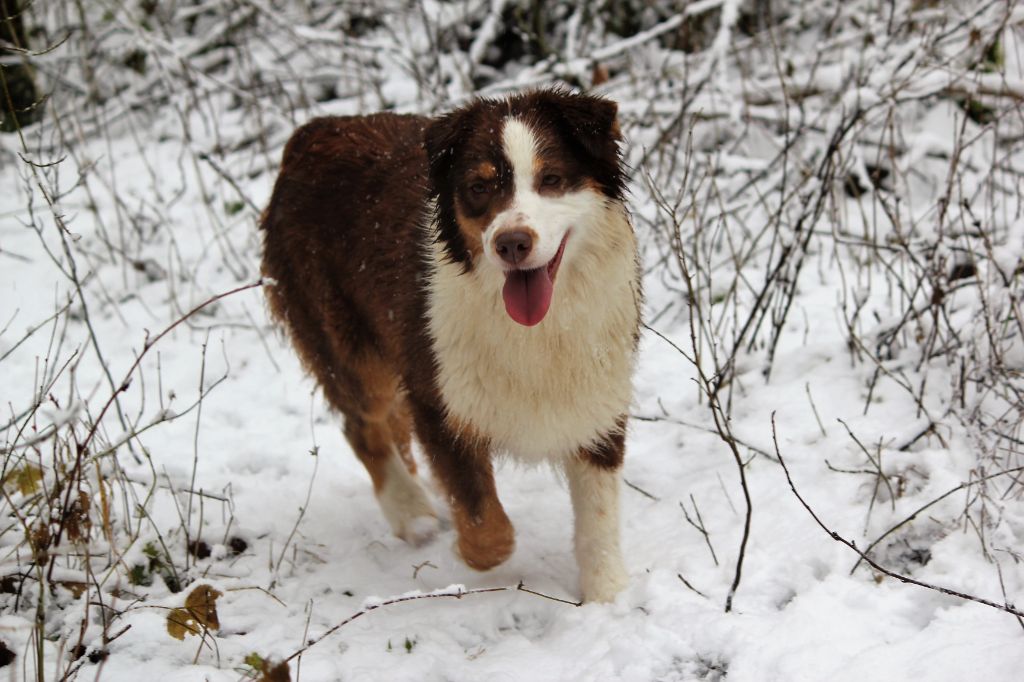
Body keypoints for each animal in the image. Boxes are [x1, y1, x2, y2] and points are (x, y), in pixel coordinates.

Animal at [258, 89, 638, 602]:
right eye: (479, 188)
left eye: (552, 179)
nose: (511, 243)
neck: (537, 326)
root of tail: (311, 132)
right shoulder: (436, 395)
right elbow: (486, 526)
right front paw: (471, 547)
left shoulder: (598, 397)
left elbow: (598, 513)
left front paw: (607, 595)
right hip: (345, 342)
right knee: (364, 424)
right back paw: (412, 513)